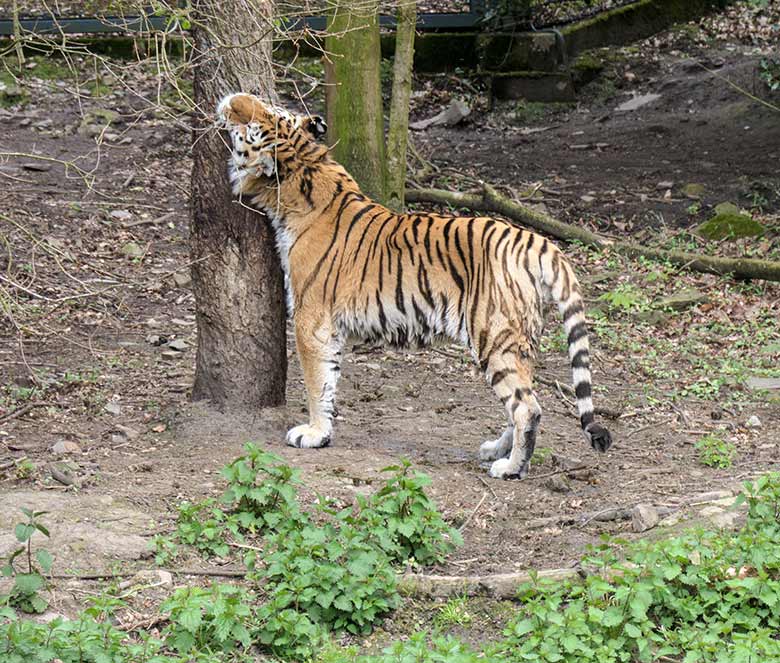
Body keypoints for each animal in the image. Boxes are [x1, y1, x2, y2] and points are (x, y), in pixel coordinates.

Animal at [216, 92, 612, 478]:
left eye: (256, 119)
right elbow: (329, 379)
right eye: (267, 106)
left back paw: (511, 467)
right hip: (519, 340)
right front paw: (322, 430)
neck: (306, 167)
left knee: (526, 407)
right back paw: (497, 450)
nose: (232, 100)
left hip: (494, 336)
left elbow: (317, 381)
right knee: (525, 397)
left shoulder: (311, 319)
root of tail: (536, 240)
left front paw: (313, 434)